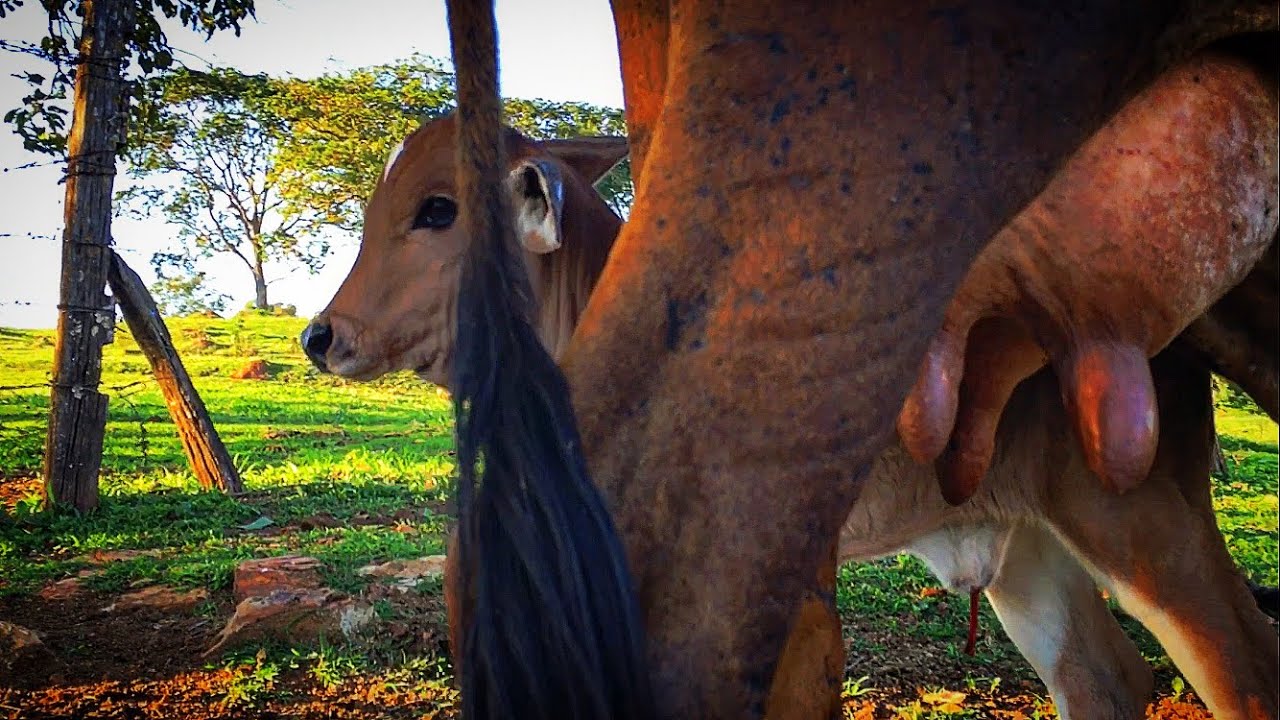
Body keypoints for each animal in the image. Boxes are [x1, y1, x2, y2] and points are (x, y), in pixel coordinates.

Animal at [358, 2, 1280, 719]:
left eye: (438, 209)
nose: (330, 334)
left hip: (1140, 516)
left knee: (1246, 667)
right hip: (1029, 547)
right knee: (1105, 676)